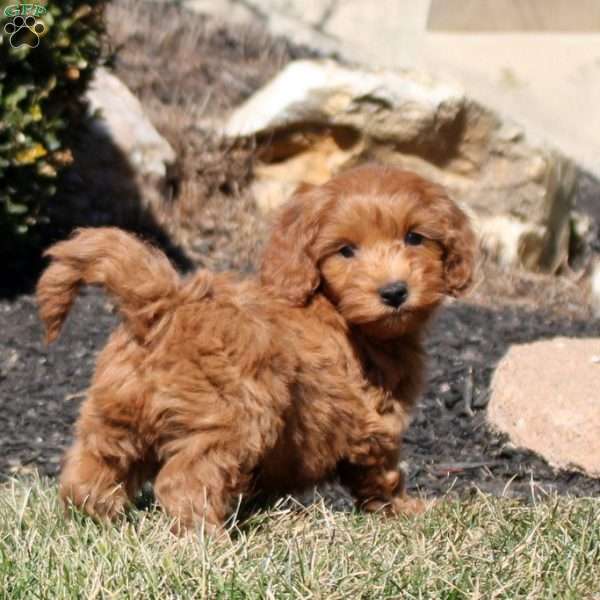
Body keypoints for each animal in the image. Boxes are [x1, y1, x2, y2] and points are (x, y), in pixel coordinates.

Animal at [37, 164, 476, 536]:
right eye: (346, 250)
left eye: (415, 237)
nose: (394, 292)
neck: (335, 309)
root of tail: (166, 306)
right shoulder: (374, 419)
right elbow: (382, 472)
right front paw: (404, 510)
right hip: (233, 420)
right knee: (186, 481)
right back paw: (211, 541)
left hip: (115, 410)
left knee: (93, 466)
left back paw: (96, 518)